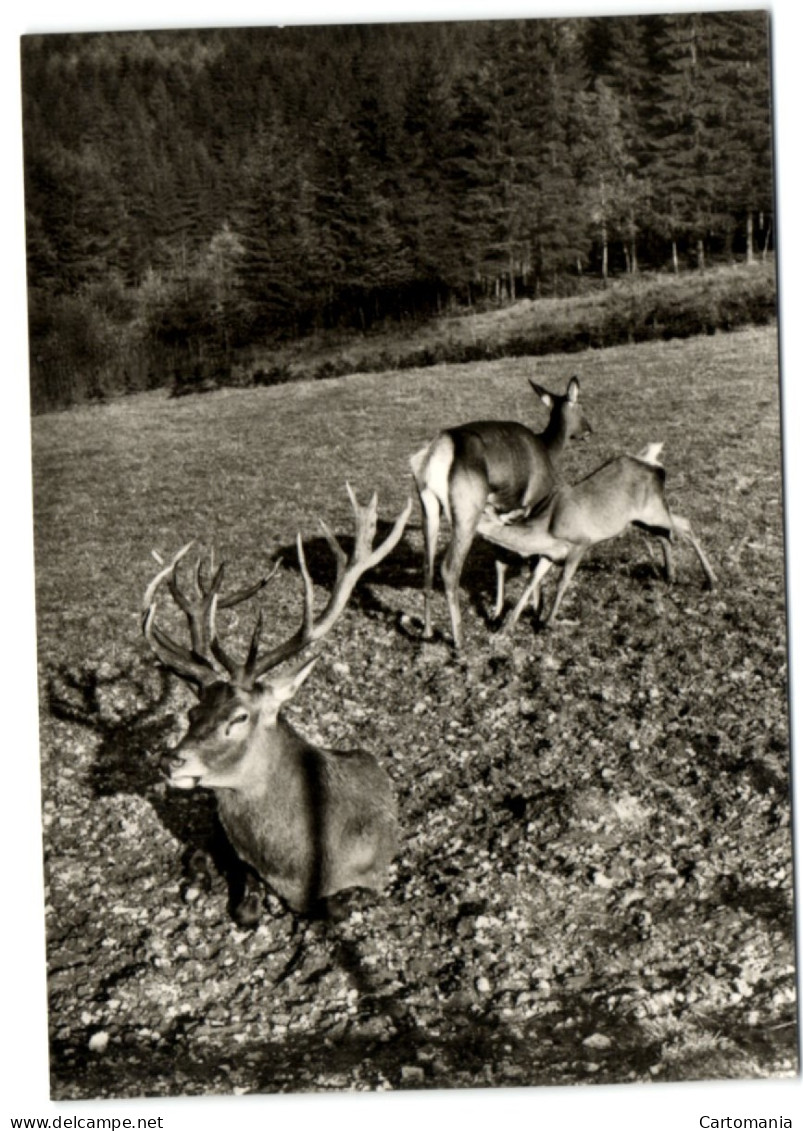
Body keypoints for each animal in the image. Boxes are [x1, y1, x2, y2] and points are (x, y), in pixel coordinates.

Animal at [140, 481, 411, 922]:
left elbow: (336, 905)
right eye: (192, 711)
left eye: (239, 717)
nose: (169, 760)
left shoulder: (375, 872)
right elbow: (245, 901)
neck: (305, 867)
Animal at [411, 375, 592, 651]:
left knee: (427, 565)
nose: (589, 430)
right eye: (580, 405)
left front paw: (496, 613)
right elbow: (532, 559)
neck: (548, 450)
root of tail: (437, 451)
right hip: (466, 511)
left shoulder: (498, 511)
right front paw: (535, 611)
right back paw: (459, 640)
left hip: (428, 505)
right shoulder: (534, 503)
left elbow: (500, 561)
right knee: (449, 568)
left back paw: (428, 631)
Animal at [477, 441, 719, 633]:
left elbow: (562, 581)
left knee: (685, 525)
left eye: (482, 510)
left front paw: (548, 623)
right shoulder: (549, 554)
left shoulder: (581, 543)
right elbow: (531, 581)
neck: (545, 530)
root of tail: (654, 463)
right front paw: (507, 626)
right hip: (640, 519)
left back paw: (711, 580)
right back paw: (670, 576)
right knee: (665, 535)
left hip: (654, 510)